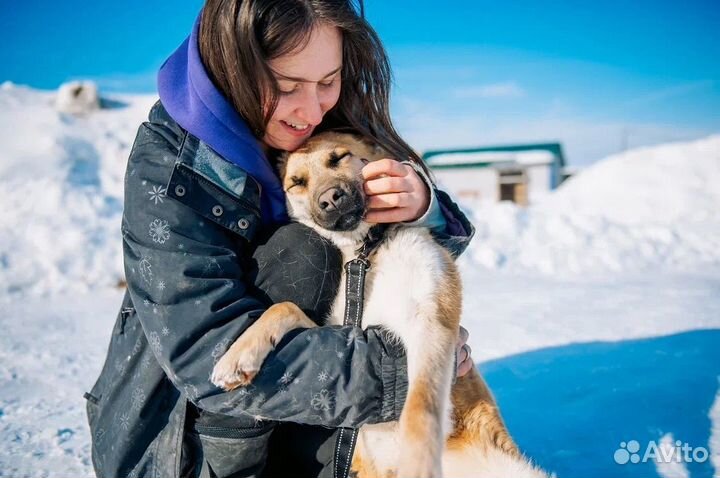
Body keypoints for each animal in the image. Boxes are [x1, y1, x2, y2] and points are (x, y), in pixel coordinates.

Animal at [211, 132, 548, 478]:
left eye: (339, 158)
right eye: (297, 183)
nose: (330, 199)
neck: (366, 250)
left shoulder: (431, 324)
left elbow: (420, 408)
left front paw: (419, 464)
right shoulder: (340, 331)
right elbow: (284, 307)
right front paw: (237, 356)